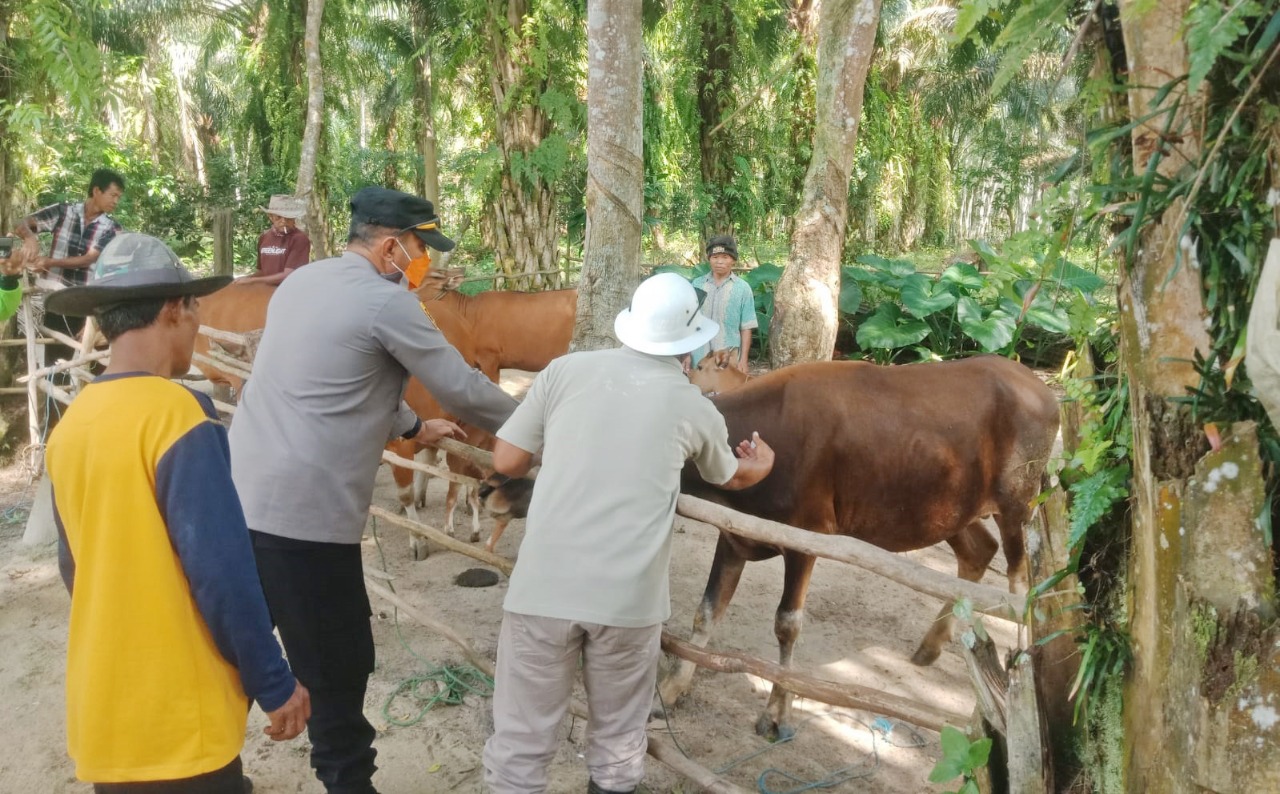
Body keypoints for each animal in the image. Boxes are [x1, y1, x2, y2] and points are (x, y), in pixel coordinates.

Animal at [660, 356, 1059, 742]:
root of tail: (1041, 389)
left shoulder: (807, 538)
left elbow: (787, 625)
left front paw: (776, 716)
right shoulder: (734, 536)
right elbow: (706, 611)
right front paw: (670, 690)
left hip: (1017, 505)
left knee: (1020, 587)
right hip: (947, 509)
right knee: (978, 551)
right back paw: (929, 646)